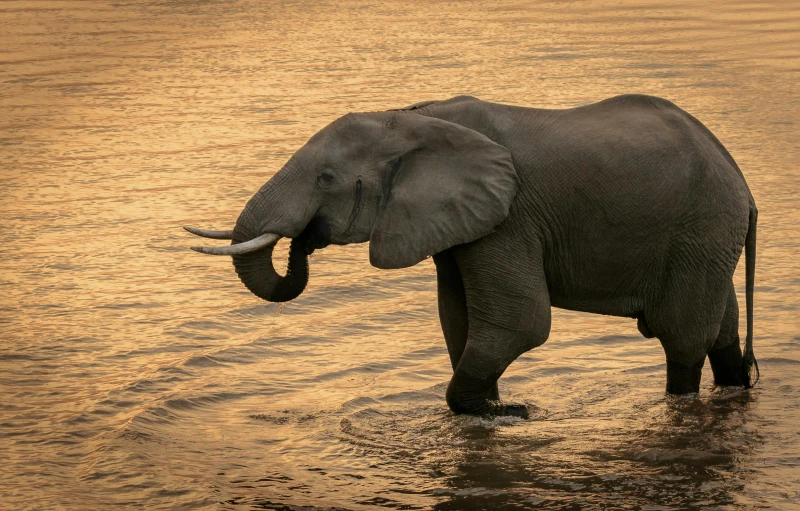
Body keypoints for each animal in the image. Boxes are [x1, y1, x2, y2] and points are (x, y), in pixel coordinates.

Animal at [186, 94, 756, 418]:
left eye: (326, 179)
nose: (304, 239)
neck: (412, 118)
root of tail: (741, 182)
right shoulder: (457, 222)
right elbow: (456, 318)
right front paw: (495, 406)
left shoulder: (510, 214)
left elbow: (520, 321)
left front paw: (506, 412)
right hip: (709, 240)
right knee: (720, 330)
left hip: (701, 229)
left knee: (681, 336)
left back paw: (681, 400)